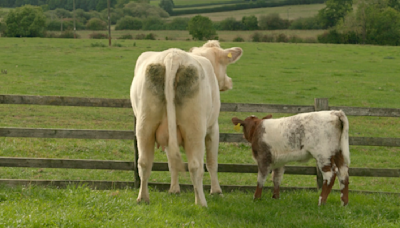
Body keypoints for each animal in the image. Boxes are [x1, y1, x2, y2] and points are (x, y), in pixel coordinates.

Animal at [131, 41, 242, 207]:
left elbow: (172, 162)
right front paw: (216, 191)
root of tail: (173, 56)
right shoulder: (213, 128)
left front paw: (174, 190)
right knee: (196, 165)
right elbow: (212, 162)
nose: (229, 82)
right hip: (194, 129)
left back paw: (143, 198)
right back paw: (201, 202)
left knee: (144, 162)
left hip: (145, 125)